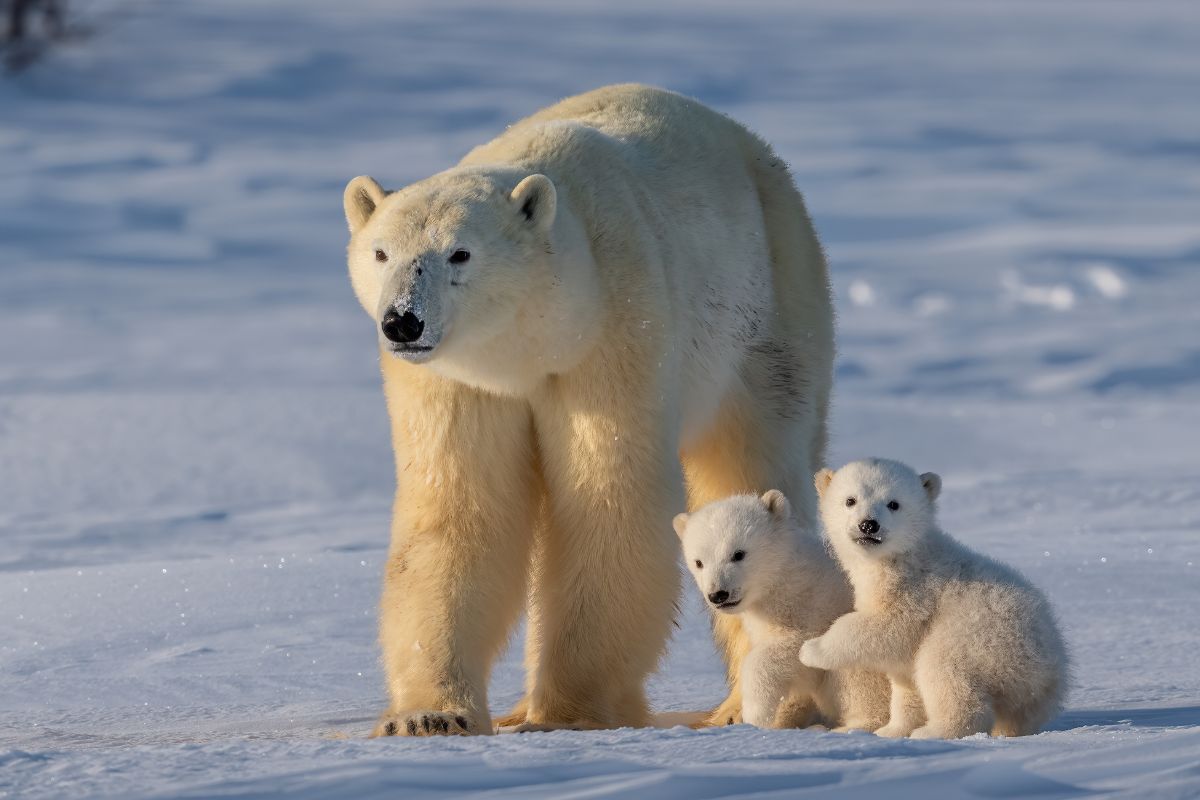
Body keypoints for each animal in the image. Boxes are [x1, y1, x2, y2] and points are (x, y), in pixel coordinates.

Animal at [345, 84, 835, 734]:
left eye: (460, 253)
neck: (534, 344)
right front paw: (429, 716)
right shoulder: (458, 382)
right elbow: (459, 510)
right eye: (380, 252)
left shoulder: (615, 329)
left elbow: (607, 501)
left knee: (752, 460)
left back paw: (750, 707)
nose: (403, 321)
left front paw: (567, 713)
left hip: (770, 310)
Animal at [676, 489, 892, 734]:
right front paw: (782, 719)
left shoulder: (815, 607)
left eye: (738, 554)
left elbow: (793, 651)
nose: (718, 594)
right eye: (699, 562)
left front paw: (755, 713)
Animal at [806, 460, 1070, 743]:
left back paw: (933, 731)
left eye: (893, 504)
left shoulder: (915, 591)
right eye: (850, 500)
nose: (868, 525)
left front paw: (812, 649)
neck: (903, 556)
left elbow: (885, 627)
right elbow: (905, 682)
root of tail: (1049, 668)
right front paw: (890, 731)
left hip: (980, 636)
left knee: (943, 669)